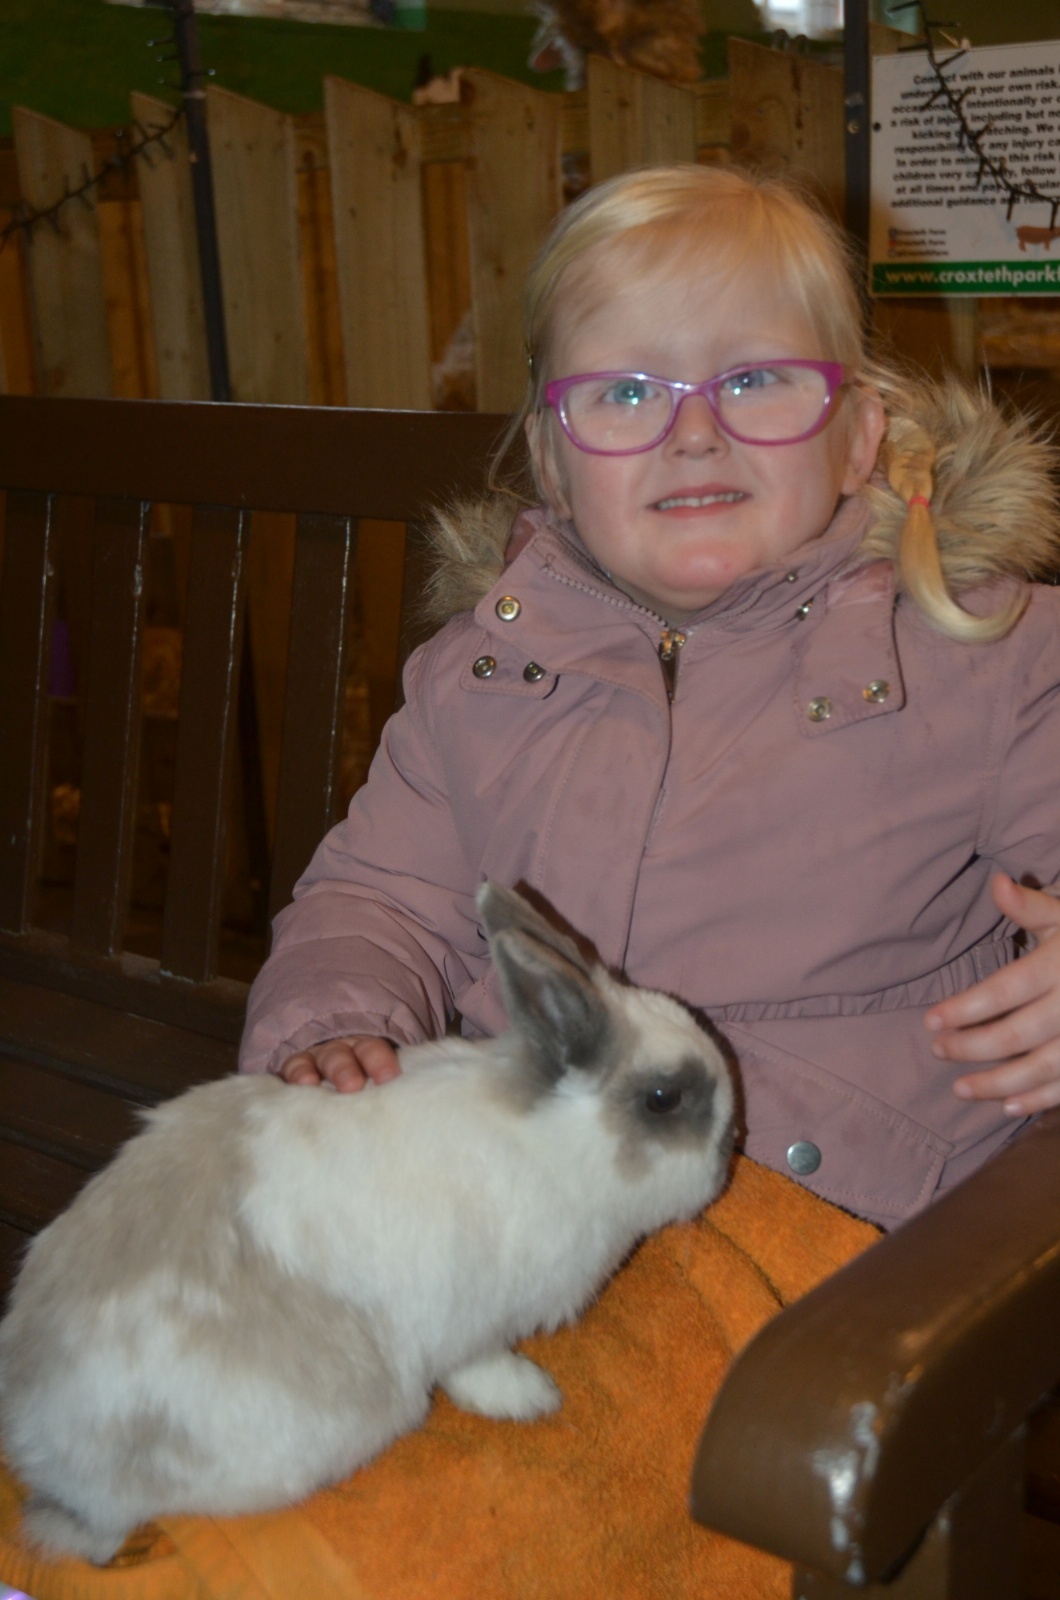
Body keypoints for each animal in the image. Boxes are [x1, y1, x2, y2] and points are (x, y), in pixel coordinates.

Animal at [0, 881, 735, 1566]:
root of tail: (48, 1458)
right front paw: (530, 1398)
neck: (555, 1143)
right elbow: (477, 1367)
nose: (731, 1150)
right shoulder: (472, 1321)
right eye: (663, 1098)